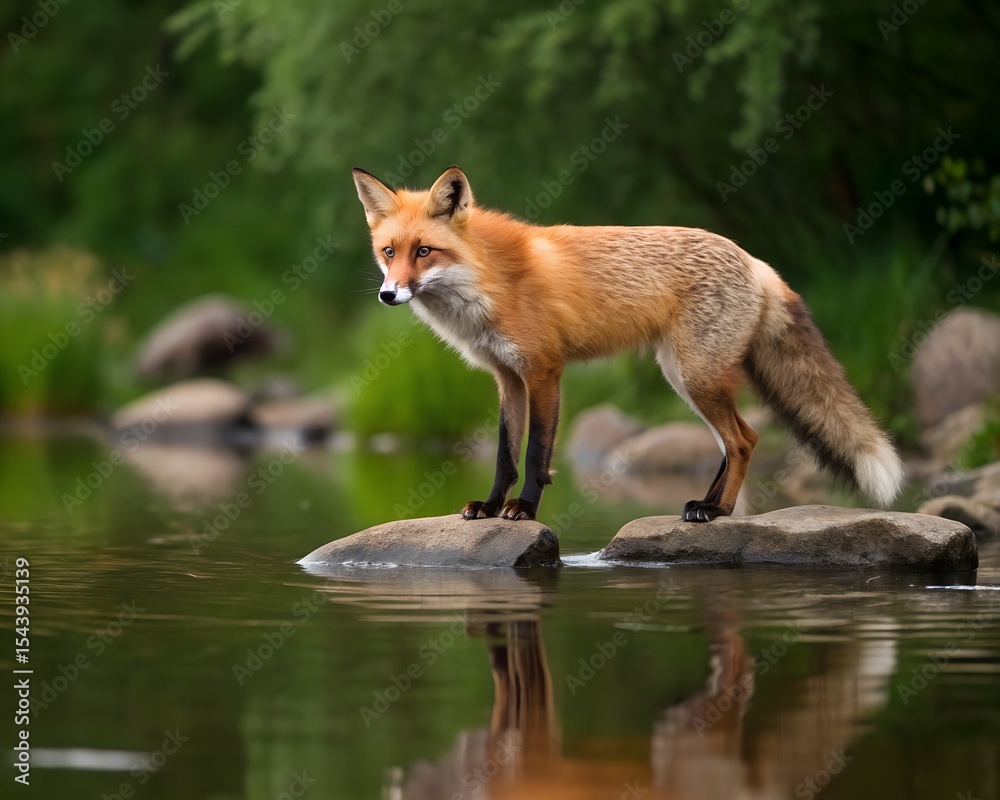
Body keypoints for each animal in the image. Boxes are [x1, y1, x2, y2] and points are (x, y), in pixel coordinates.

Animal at [352, 165, 904, 523]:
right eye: (389, 252)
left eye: (425, 252)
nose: (387, 294)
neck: (487, 280)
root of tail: (756, 261)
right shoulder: (507, 377)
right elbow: (505, 455)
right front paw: (488, 507)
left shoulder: (544, 370)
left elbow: (536, 454)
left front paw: (523, 509)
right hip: (684, 377)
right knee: (735, 439)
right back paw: (704, 504)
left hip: (696, 377)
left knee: (743, 441)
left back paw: (720, 510)